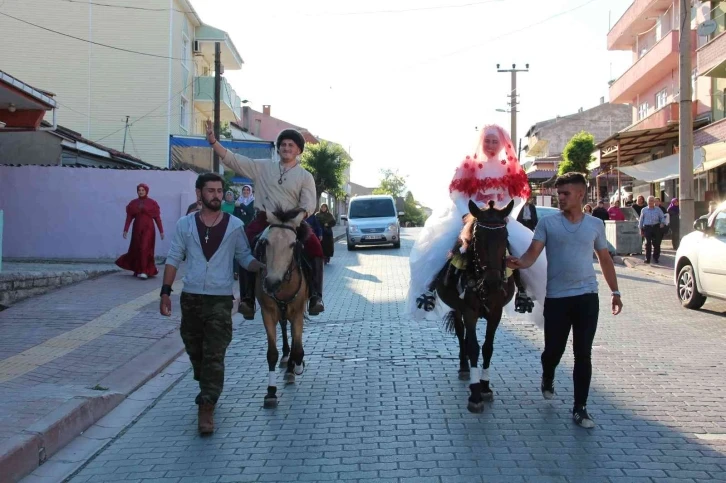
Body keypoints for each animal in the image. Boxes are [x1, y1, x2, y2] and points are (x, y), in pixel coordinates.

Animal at [256, 208, 310, 408]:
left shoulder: (298, 311)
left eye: (293, 244)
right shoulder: (267, 313)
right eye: (266, 242)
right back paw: (287, 360)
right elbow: (271, 353)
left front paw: (298, 365)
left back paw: (291, 366)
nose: (271, 283)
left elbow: (298, 347)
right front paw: (271, 392)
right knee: (284, 326)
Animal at [438, 199, 516, 414]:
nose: (493, 283)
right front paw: (474, 394)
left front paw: (485, 386)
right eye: (478, 237)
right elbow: (473, 347)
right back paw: (464, 367)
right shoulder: (469, 311)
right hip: (457, 310)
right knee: (460, 332)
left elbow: (488, 347)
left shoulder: (496, 312)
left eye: (505, 236)